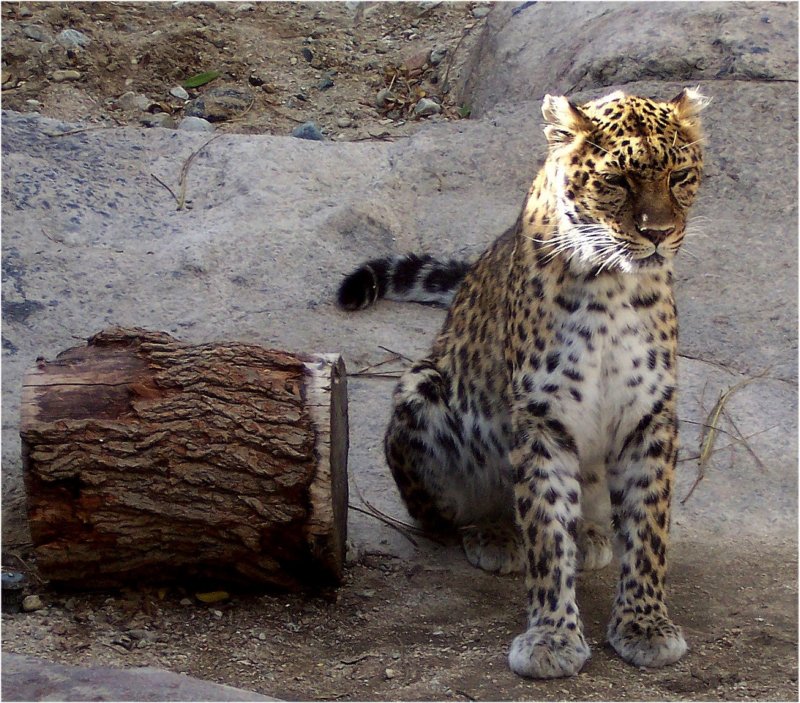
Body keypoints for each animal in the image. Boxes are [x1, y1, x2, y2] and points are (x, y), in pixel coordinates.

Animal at [336, 88, 708, 676]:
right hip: (422, 389)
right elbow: (546, 531)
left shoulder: (649, 414)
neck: (615, 289)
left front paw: (644, 625)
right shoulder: (542, 417)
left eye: (679, 175)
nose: (658, 234)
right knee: (447, 515)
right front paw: (552, 637)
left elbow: (649, 530)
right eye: (616, 181)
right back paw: (495, 532)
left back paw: (593, 534)